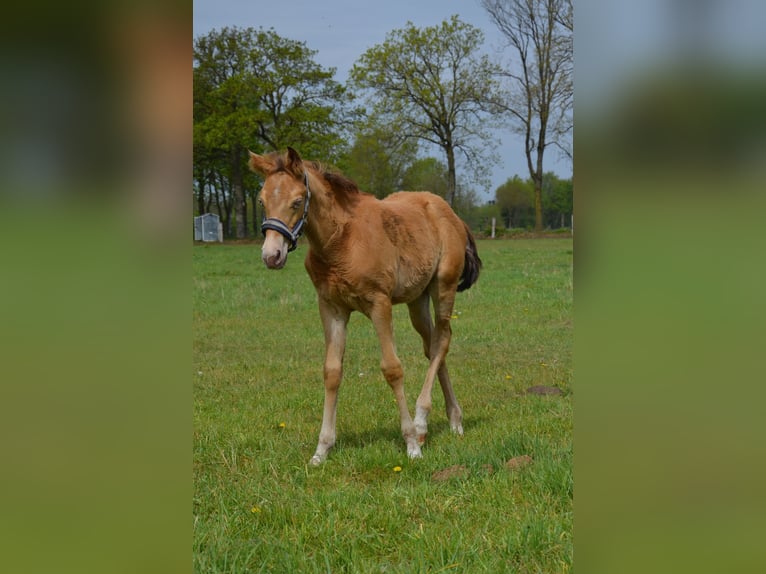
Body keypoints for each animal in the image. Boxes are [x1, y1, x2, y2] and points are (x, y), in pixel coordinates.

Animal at [248, 147, 482, 465]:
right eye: (262, 200)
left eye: (297, 202)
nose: (271, 256)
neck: (340, 242)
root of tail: (451, 214)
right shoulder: (331, 308)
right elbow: (332, 371)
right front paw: (321, 450)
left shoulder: (379, 303)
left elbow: (392, 368)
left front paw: (411, 444)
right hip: (416, 299)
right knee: (433, 345)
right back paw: (452, 419)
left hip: (443, 287)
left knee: (443, 339)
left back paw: (423, 422)